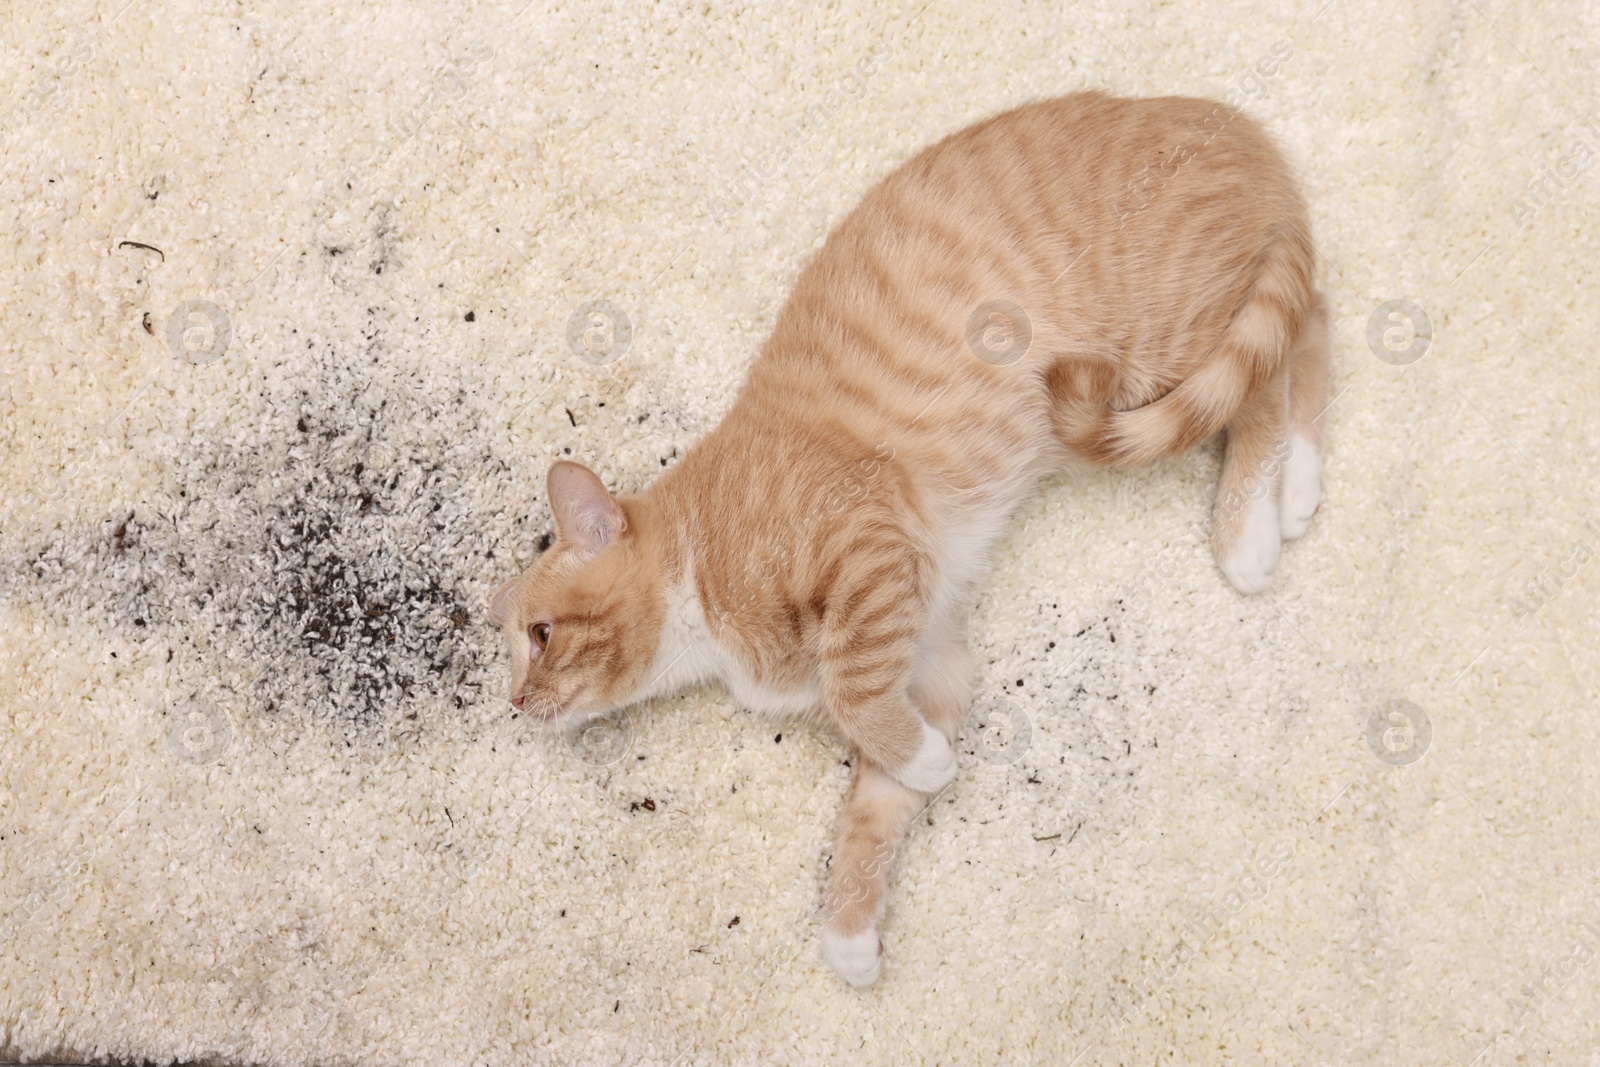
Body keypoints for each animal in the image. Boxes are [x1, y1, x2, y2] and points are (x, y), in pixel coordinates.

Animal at [489, 91, 1337, 985]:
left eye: (540, 635)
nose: (514, 700)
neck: (699, 570)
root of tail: (1232, 122)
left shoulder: (870, 545)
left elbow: (855, 692)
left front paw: (918, 765)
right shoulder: (933, 664)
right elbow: (874, 804)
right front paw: (851, 927)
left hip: (1157, 344)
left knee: (1263, 376)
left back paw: (1248, 527)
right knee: (1307, 321)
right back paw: (1299, 483)